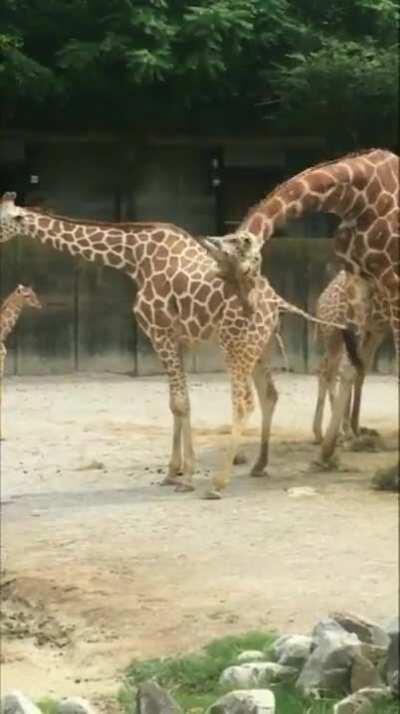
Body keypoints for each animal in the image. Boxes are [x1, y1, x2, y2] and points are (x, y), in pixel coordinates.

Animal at [0, 192, 343, 498]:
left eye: (0, 219)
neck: (134, 259)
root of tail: (276, 301)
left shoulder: (159, 332)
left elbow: (179, 403)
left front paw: (187, 476)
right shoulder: (178, 338)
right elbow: (178, 403)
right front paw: (172, 472)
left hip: (236, 346)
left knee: (245, 402)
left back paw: (218, 484)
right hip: (260, 348)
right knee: (269, 394)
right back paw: (259, 465)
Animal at [312, 269, 390, 444]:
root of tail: (320, 302)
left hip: (357, 333)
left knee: (332, 368)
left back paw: (328, 432)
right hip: (341, 332)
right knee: (338, 370)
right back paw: (343, 432)